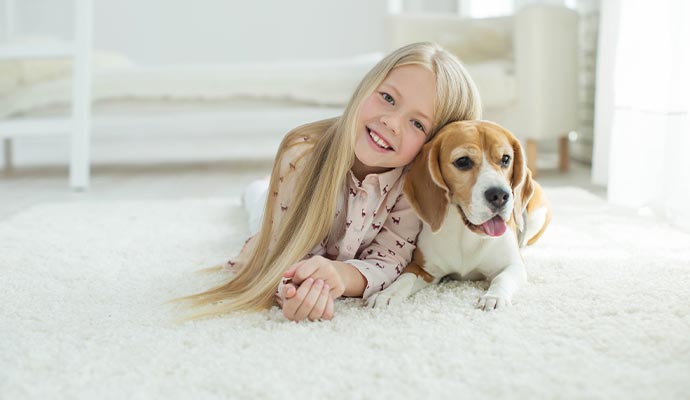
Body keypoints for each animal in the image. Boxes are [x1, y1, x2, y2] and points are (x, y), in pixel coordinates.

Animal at [366, 120, 548, 310]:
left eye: (506, 159)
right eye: (463, 161)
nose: (500, 196)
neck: (465, 235)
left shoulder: (513, 265)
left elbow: (502, 278)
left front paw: (494, 297)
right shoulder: (422, 268)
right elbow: (404, 279)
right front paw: (386, 293)